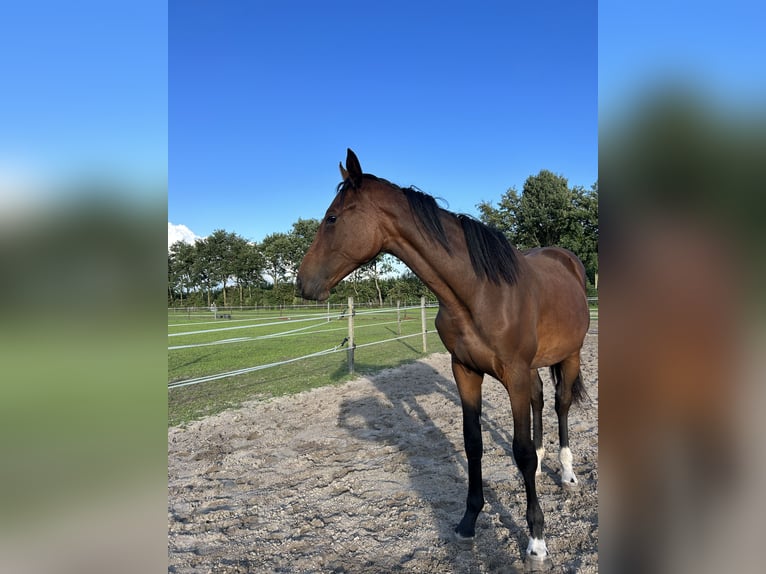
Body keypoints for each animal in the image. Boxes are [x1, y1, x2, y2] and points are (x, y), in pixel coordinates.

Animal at [296, 148, 592, 568]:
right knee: (538, 402)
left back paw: (566, 474)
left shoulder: (515, 374)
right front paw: (468, 521)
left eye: (332, 218)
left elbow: (519, 452)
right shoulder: (465, 370)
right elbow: (473, 443)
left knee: (560, 403)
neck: (479, 291)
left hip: (570, 355)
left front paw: (536, 540)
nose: (301, 282)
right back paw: (542, 457)